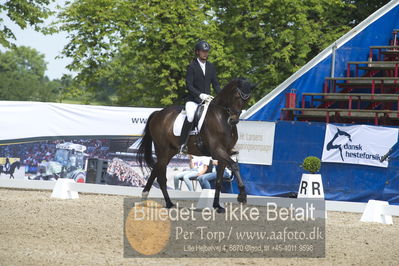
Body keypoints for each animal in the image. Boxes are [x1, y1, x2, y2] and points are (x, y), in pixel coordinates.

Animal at [138, 78, 256, 213]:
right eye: (236, 96)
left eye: (247, 99)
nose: (233, 120)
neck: (222, 118)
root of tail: (158, 113)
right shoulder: (217, 150)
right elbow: (235, 165)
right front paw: (242, 195)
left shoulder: (224, 153)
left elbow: (219, 181)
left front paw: (217, 206)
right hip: (162, 149)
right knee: (159, 174)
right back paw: (149, 199)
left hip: (170, 151)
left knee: (157, 172)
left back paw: (165, 202)